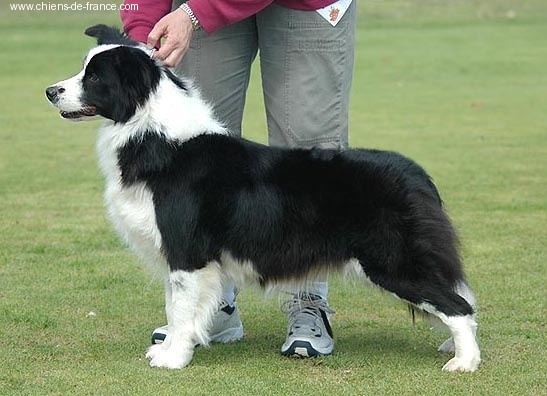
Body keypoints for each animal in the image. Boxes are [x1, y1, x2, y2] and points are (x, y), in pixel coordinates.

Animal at [48, 24, 484, 372]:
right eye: (82, 69)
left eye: (94, 77)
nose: (51, 90)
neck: (152, 132)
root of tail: (418, 176)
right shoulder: (179, 254)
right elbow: (175, 307)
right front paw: (170, 347)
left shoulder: (186, 249)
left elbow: (182, 306)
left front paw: (174, 359)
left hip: (392, 259)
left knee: (459, 305)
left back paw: (464, 361)